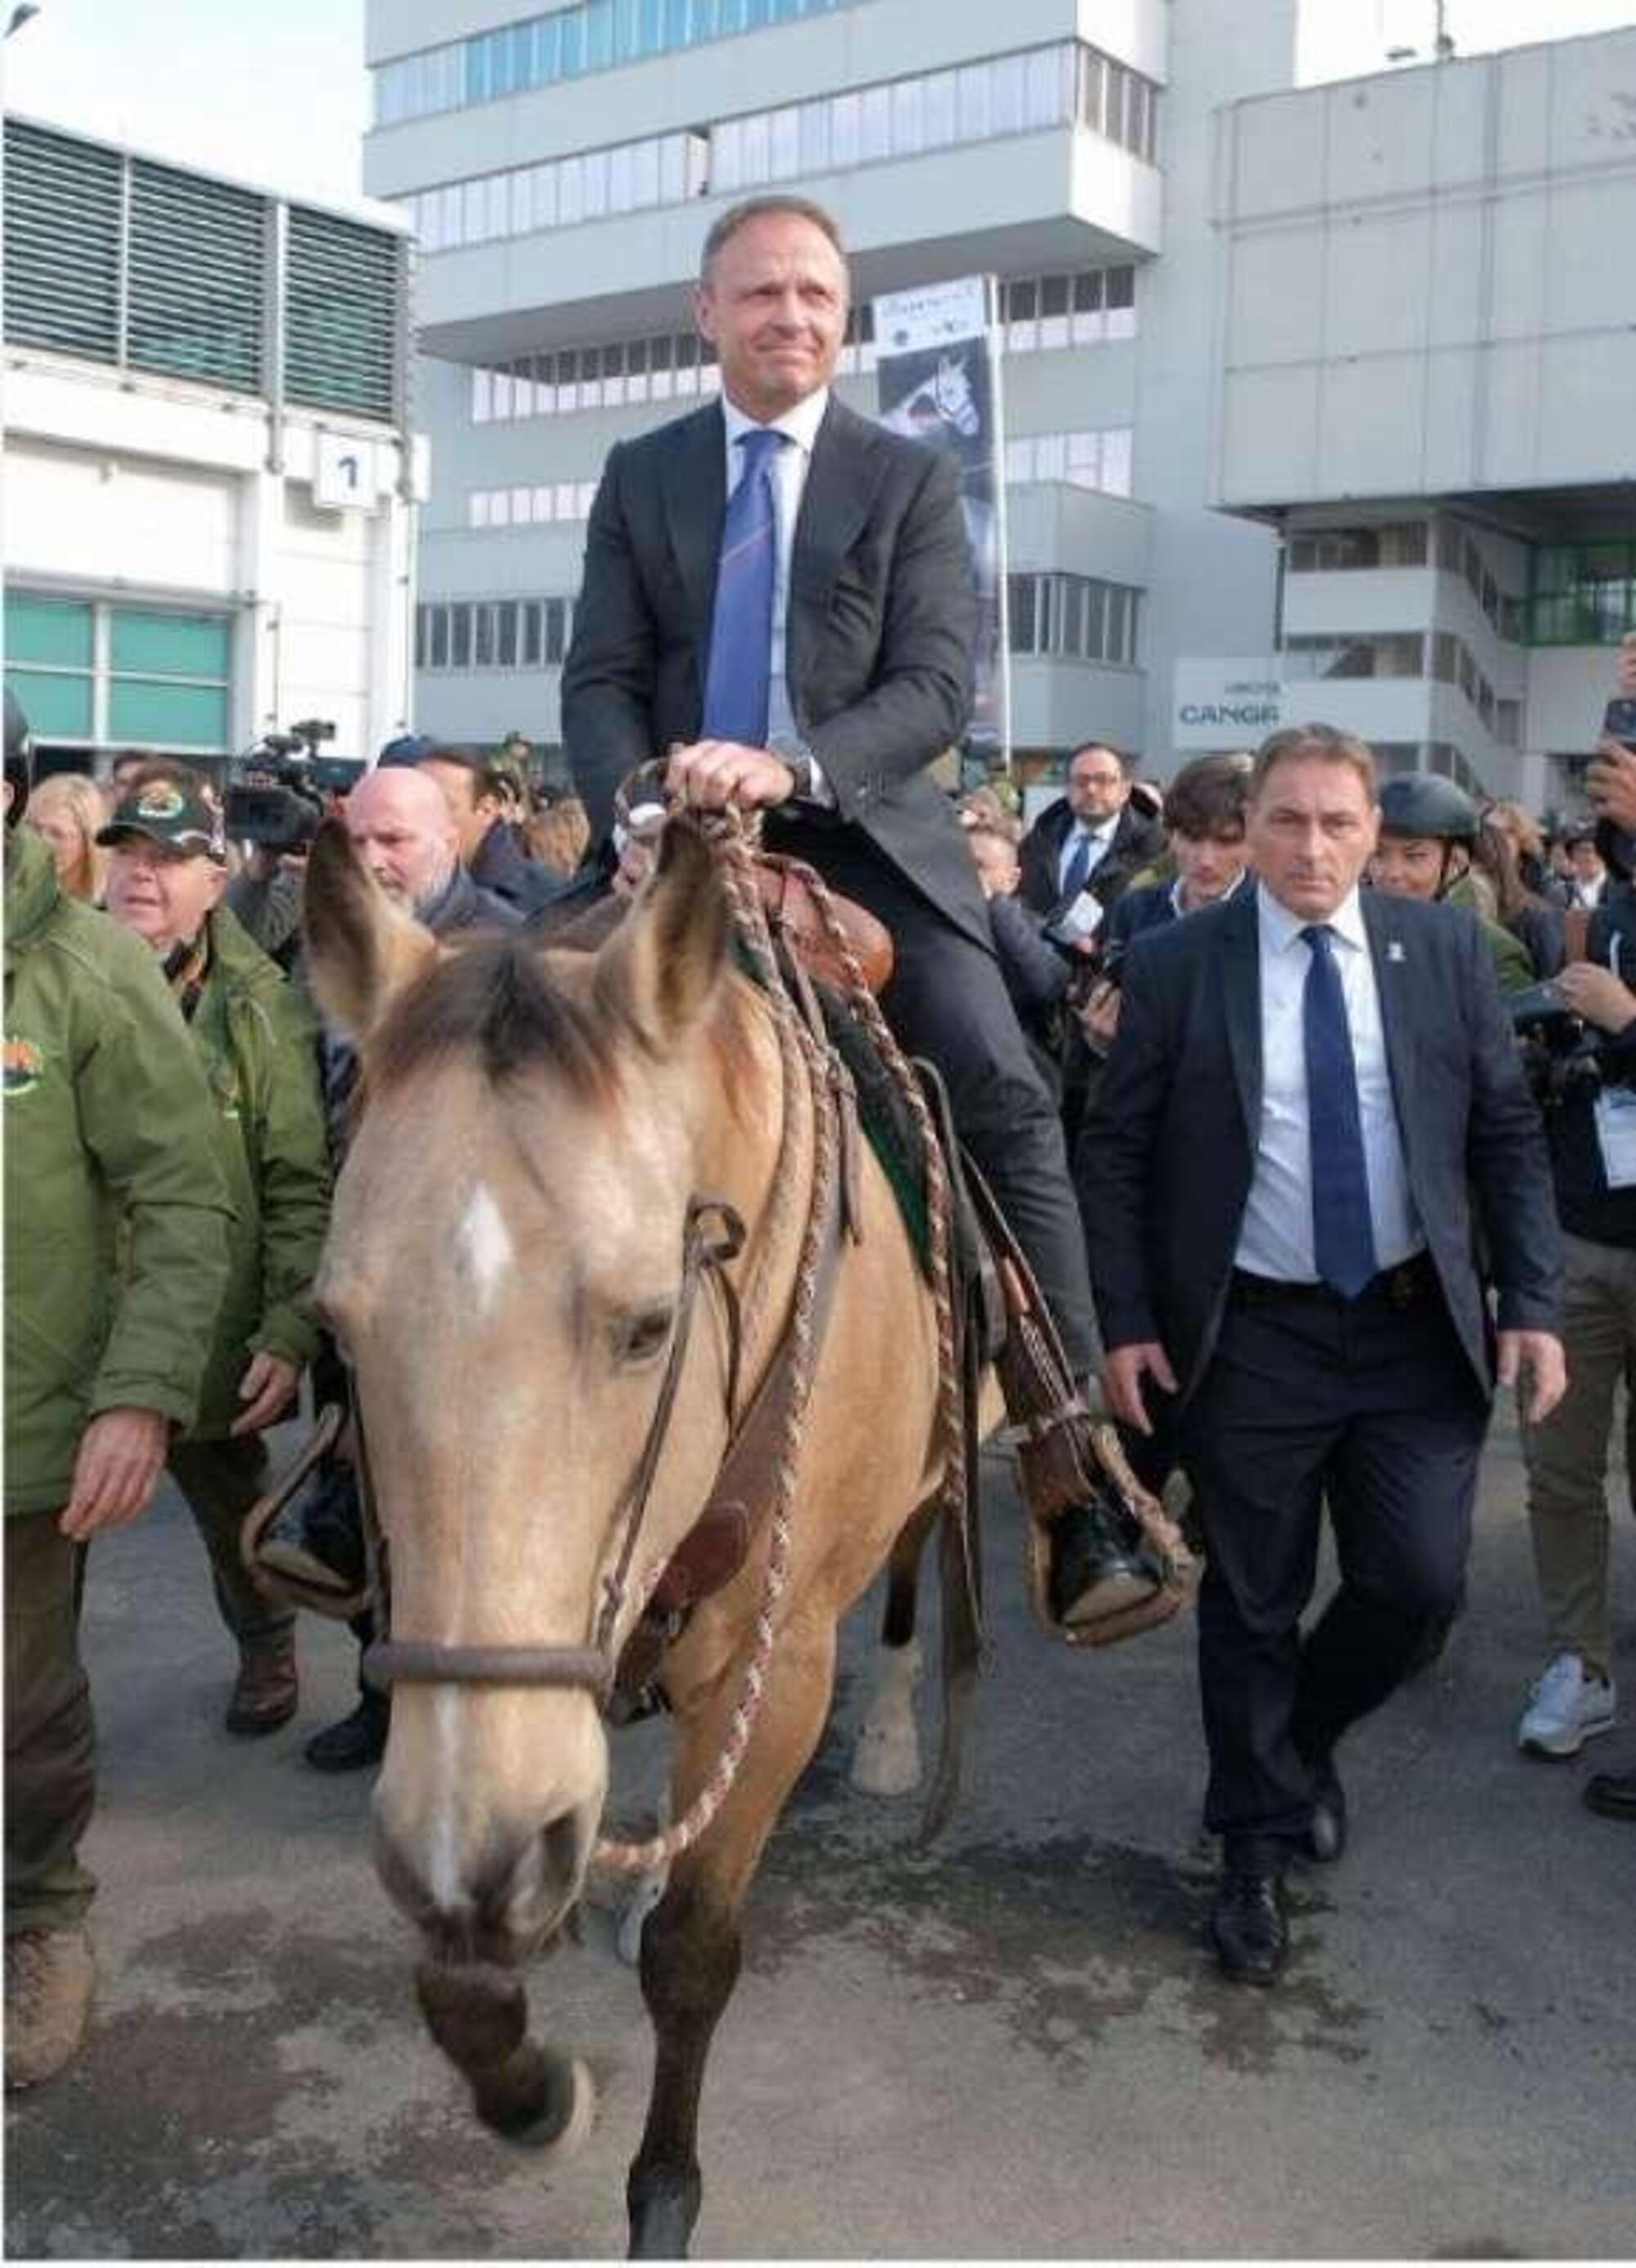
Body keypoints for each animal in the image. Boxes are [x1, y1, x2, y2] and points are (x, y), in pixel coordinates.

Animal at [303, 816, 971, 2249]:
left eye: (650, 1325)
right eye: (336, 1328)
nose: (487, 1844)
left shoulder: (778, 1670)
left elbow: (695, 1956)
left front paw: (662, 2197)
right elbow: (463, 1956)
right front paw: (532, 2080)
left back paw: (892, 1735)